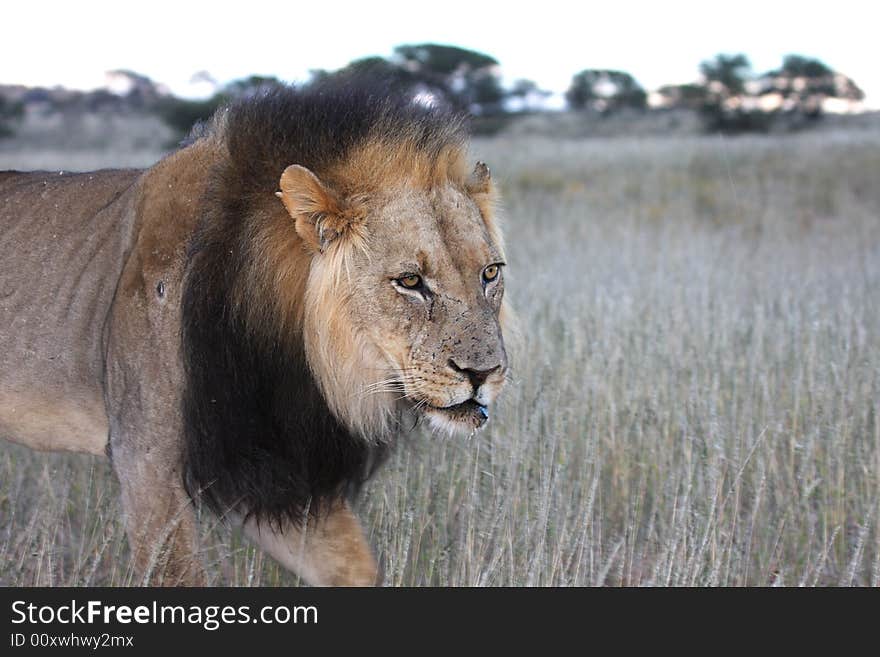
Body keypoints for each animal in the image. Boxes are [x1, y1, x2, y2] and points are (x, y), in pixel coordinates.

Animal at [0, 79, 508, 588]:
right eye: (410, 281)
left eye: (490, 273)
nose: (485, 373)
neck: (287, 357)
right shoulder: (145, 463)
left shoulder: (268, 466)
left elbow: (355, 568)